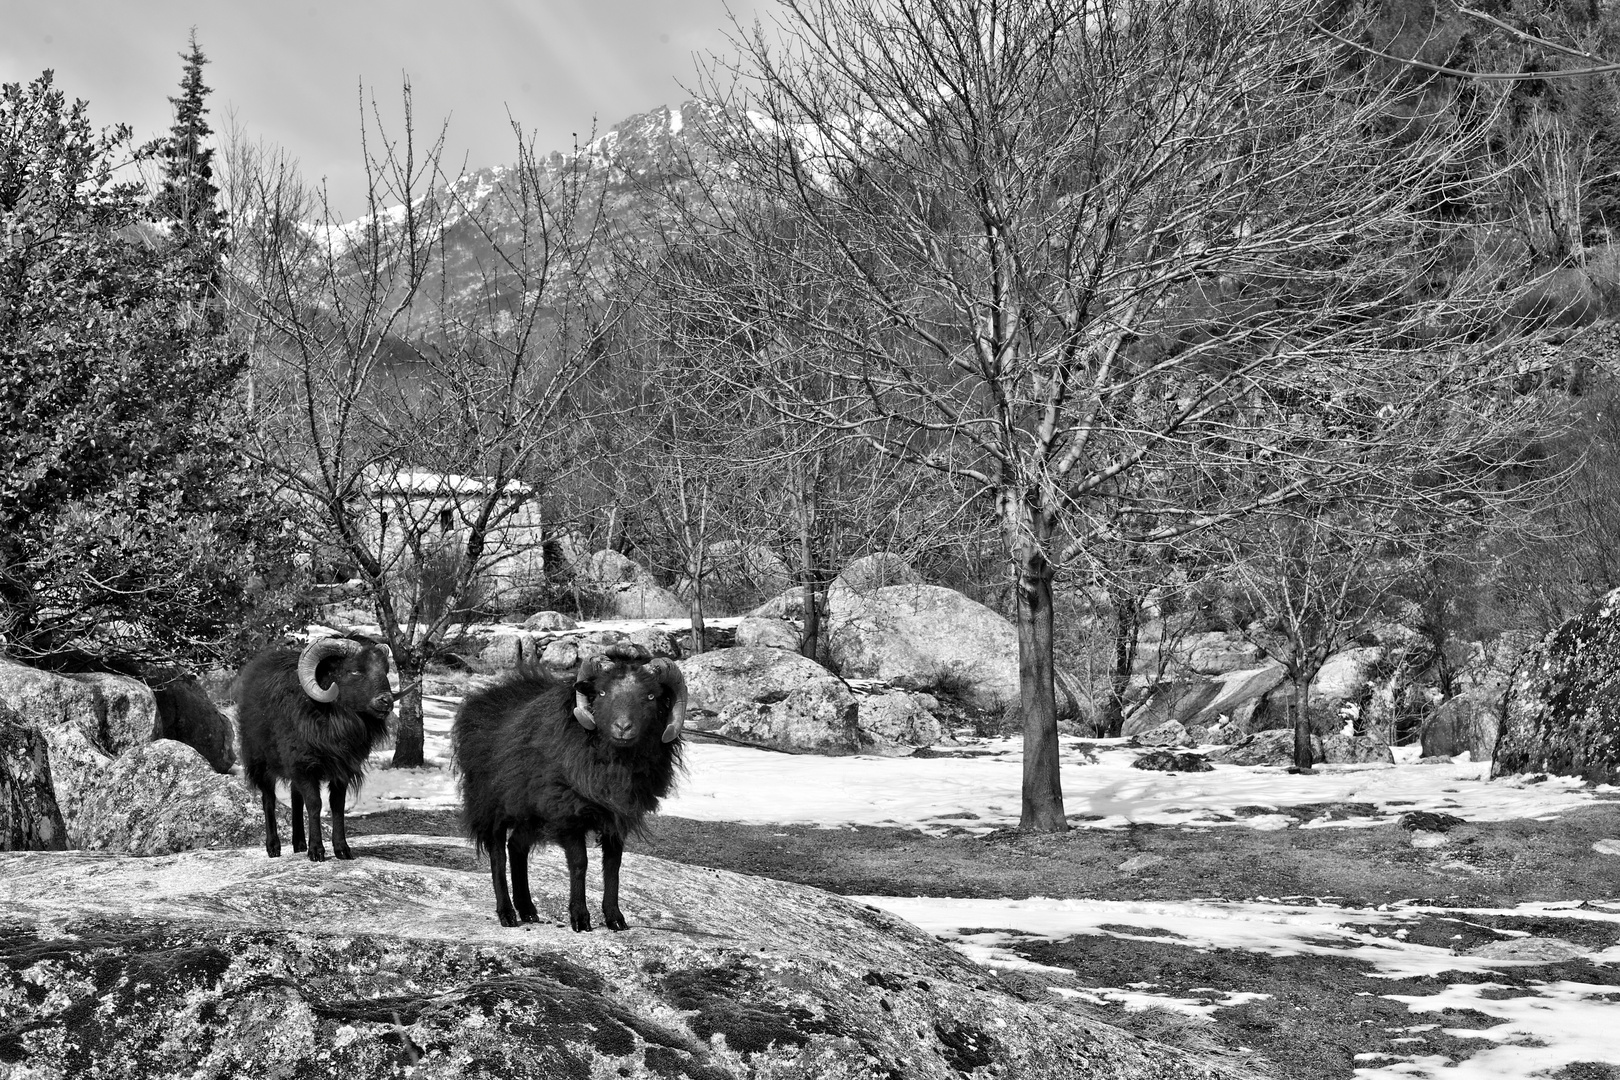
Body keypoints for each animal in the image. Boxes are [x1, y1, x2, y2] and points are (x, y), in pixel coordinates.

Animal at [236, 637, 393, 867]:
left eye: (385, 670)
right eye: (354, 671)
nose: (386, 701)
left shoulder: (341, 770)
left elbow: (337, 806)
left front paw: (342, 849)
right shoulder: (303, 765)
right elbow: (314, 804)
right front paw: (317, 851)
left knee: (295, 798)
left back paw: (299, 843)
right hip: (261, 762)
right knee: (268, 800)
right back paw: (274, 847)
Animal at [453, 641, 686, 932]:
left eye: (651, 696)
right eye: (602, 692)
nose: (623, 727)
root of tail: (480, 700)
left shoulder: (615, 817)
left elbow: (613, 866)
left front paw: (615, 918)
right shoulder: (566, 811)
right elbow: (579, 863)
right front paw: (580, 917)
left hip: (532, 811)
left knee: (516, 847)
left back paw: (528, 910)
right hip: (491, 803)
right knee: (497, 854)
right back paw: (507, 914)